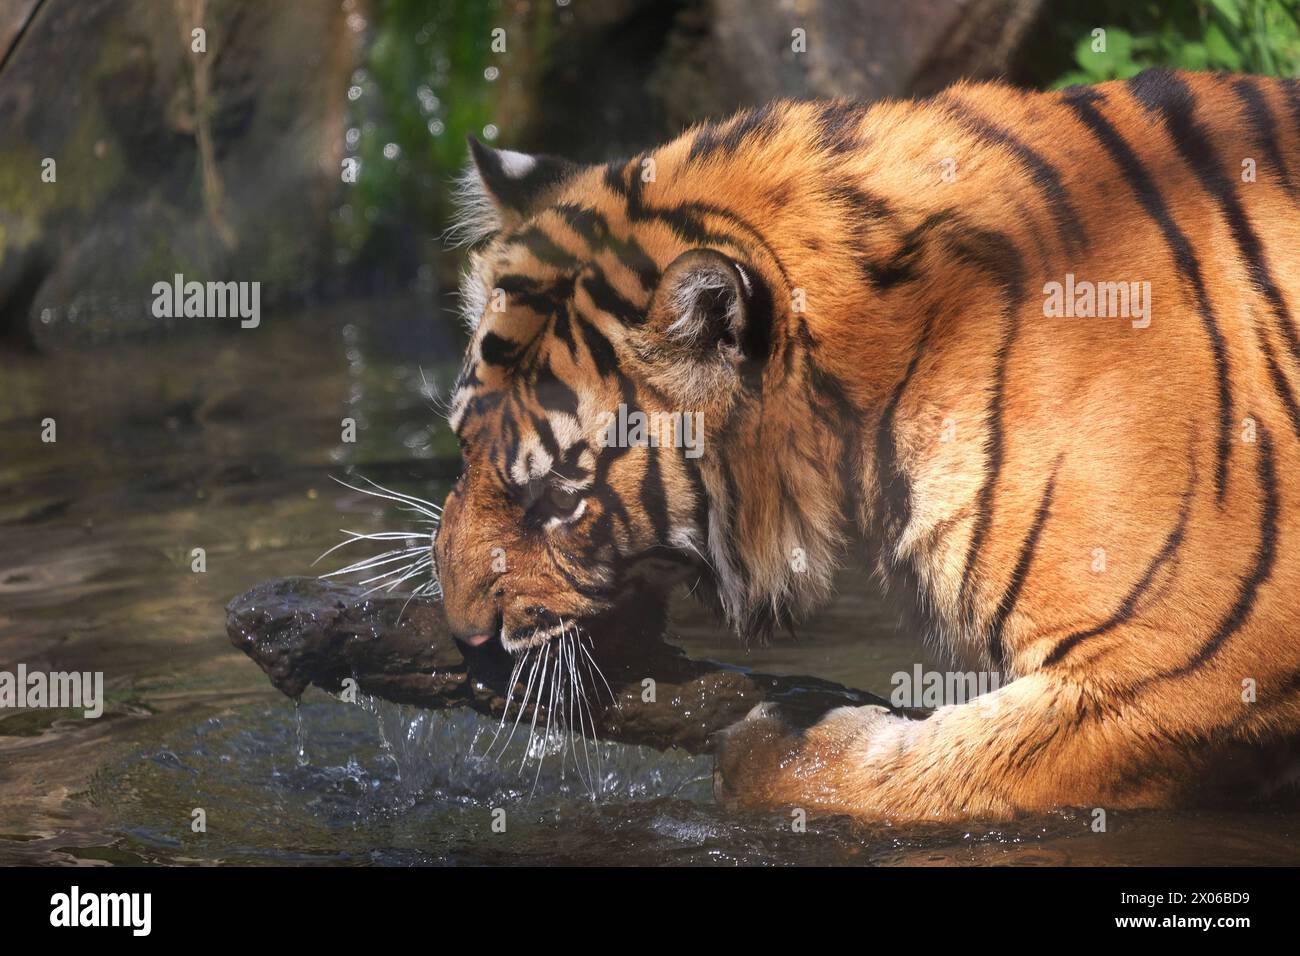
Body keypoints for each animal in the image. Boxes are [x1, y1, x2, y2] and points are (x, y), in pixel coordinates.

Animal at [434, 69, 1300, 822]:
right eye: (463, 449)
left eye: (561, 499)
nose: (465, 641)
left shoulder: (1183, 665)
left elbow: (928, 773)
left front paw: (773, 743)